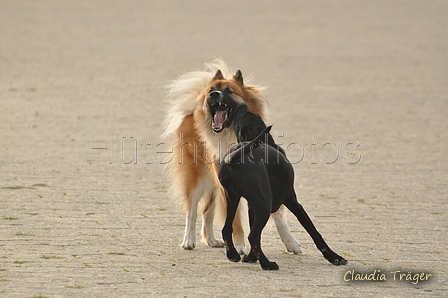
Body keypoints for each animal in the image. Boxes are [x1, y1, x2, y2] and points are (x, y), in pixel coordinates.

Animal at [219, 104, 348, 270]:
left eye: (250, 114)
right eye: (241, 119)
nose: (241, 105)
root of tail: (232, 159)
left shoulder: (251, 207)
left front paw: (250, 258)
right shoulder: (293, 202)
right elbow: (315, 233)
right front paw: (335, 257)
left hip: (233, 199)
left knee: (228, 229)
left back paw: (233, 255)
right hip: (264, 205)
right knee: (252, 236)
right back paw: (268, 264)